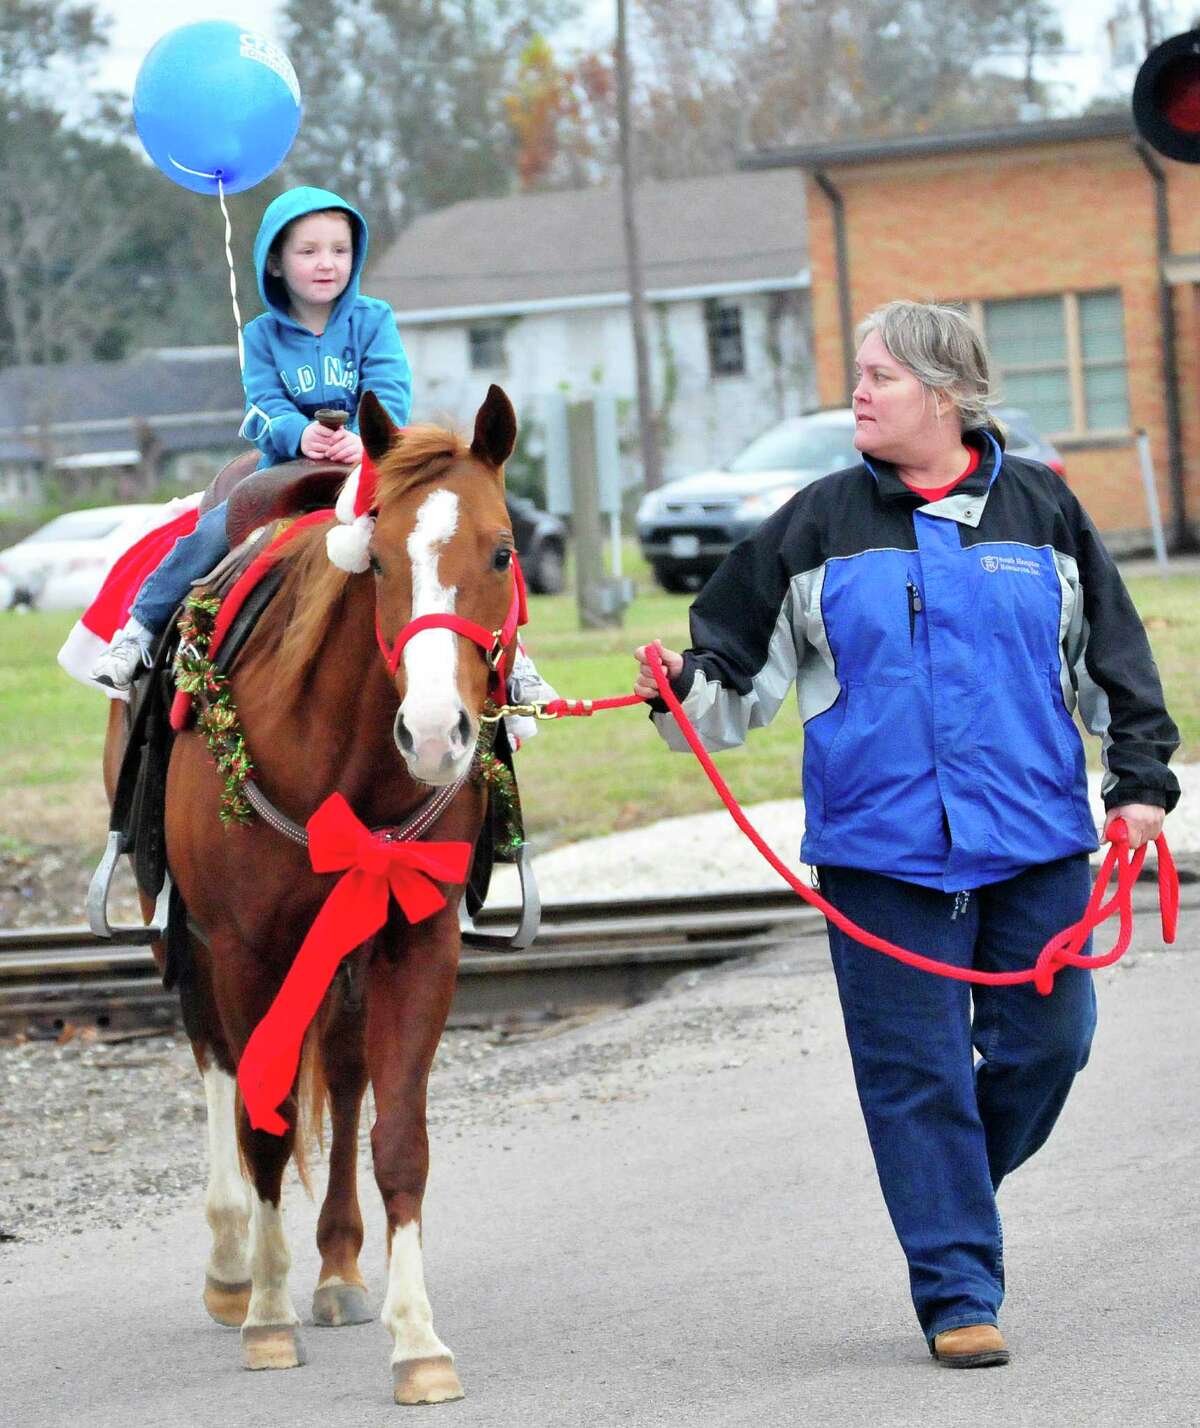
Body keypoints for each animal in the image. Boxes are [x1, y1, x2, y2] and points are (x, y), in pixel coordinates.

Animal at [105, 382, 528, 1405]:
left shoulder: (417, 940)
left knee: (340, 1068)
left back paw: (336, 1266)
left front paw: (419, 1342)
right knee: (220, 1066)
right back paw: (233, 1268)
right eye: (376, 558)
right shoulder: (244, 948)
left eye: (501, 550)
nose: (434, 732)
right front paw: (265, 1315)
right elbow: (262, 1123)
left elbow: (398, 1136)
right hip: (185, 939)